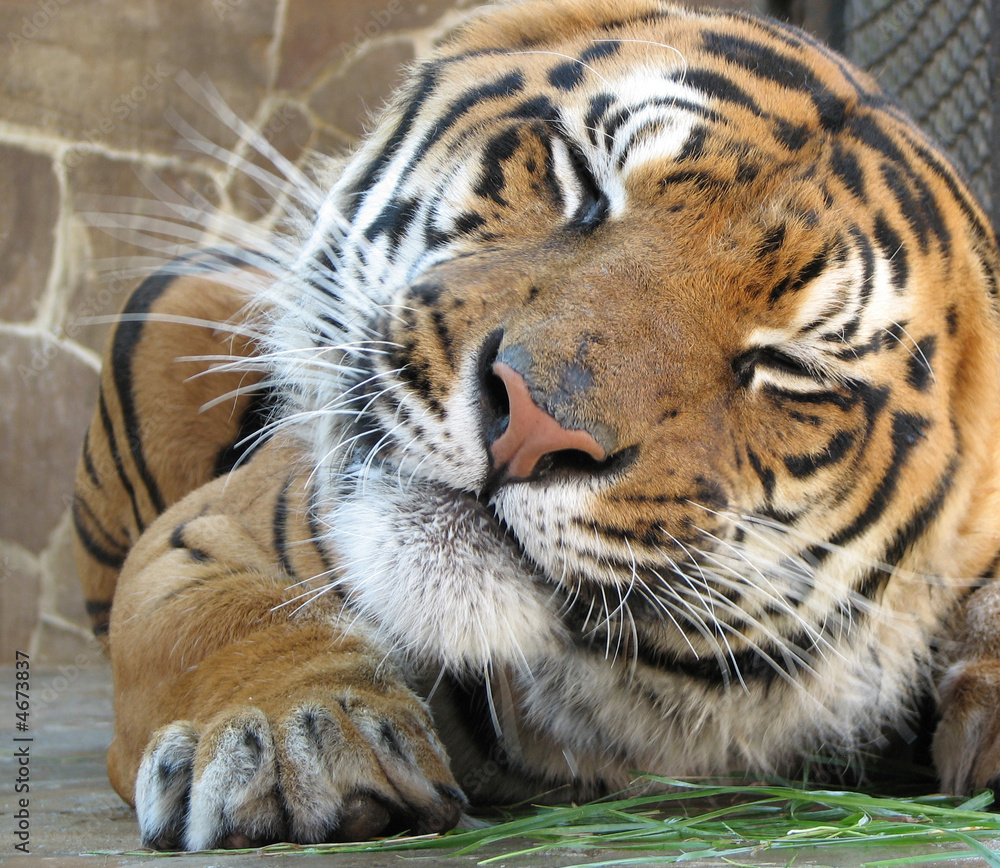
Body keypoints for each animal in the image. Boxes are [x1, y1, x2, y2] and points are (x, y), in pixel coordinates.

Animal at [72, 0, 1000, 851]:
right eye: (583, 183)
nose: (529, 429)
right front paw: (292, 736)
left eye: (787, 367)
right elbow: (224, 620)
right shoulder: (206, 529)